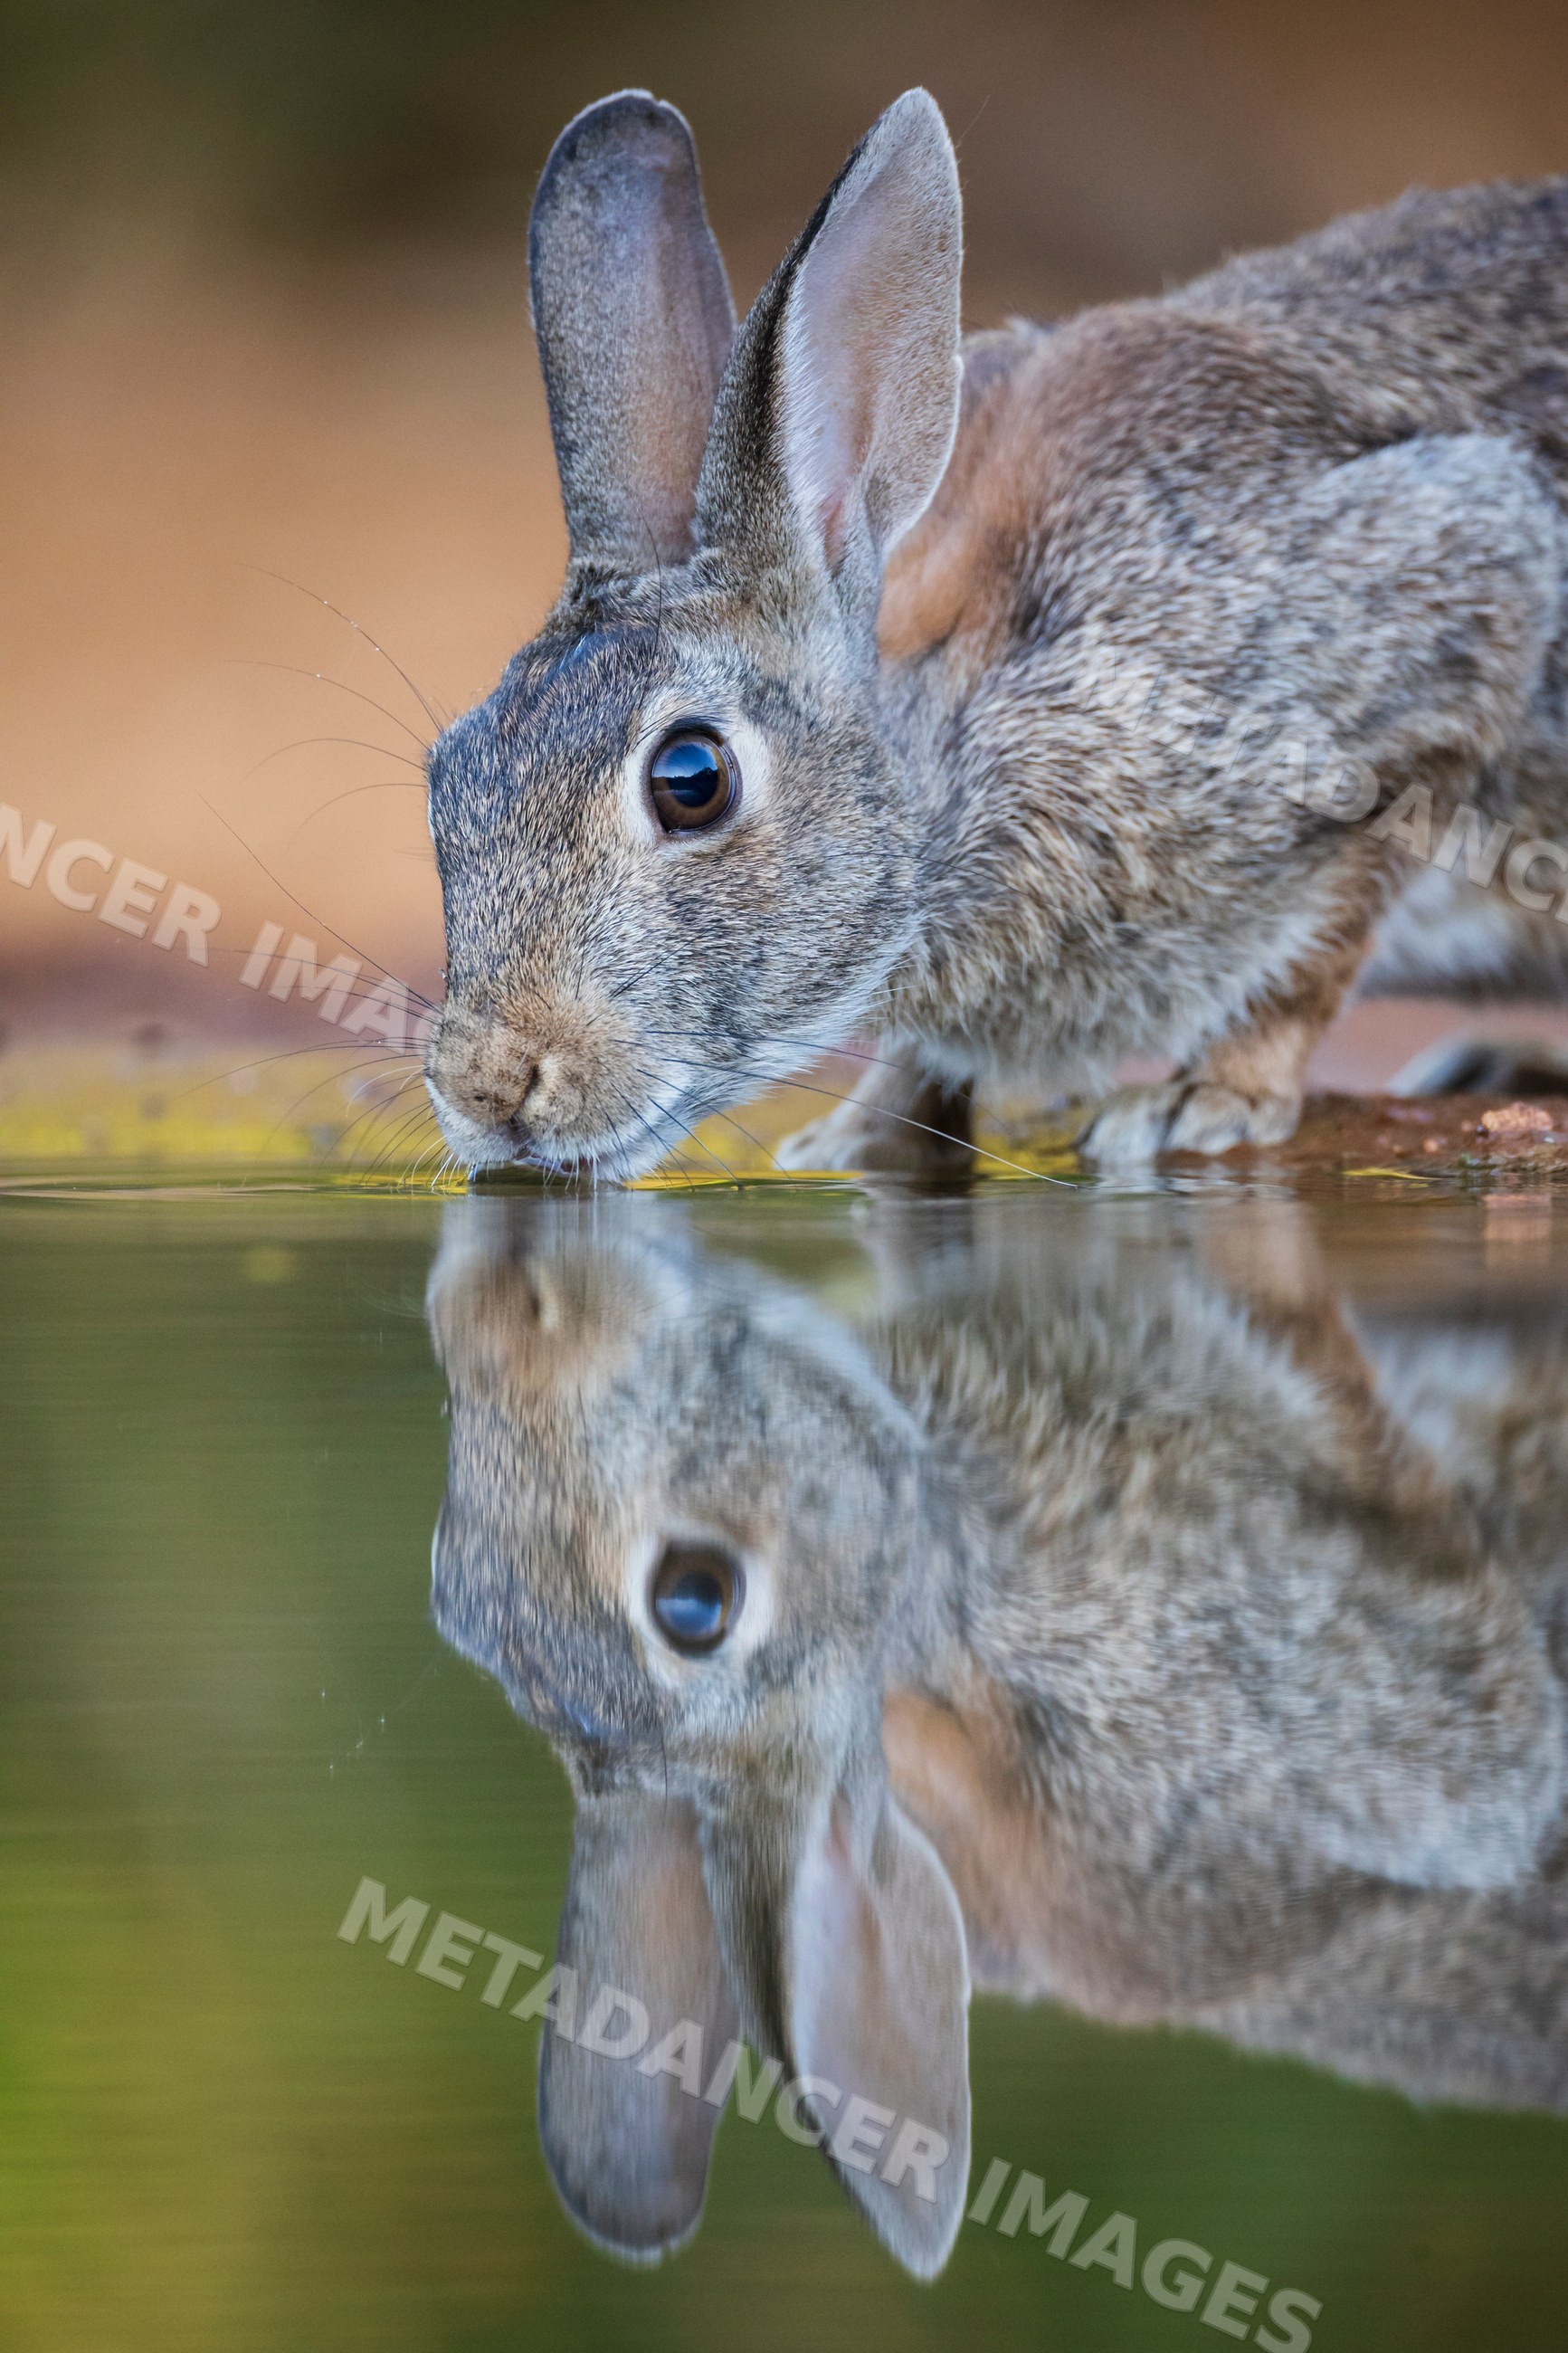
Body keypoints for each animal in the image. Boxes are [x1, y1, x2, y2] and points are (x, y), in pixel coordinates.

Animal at [421, 86, 1568, 1177]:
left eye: (691, 778)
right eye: (445, 774)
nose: (487, 1086)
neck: (958, 726)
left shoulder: (1448, 626)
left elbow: (1314, 948)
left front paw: (1202, 1102)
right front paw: (855, 1137)